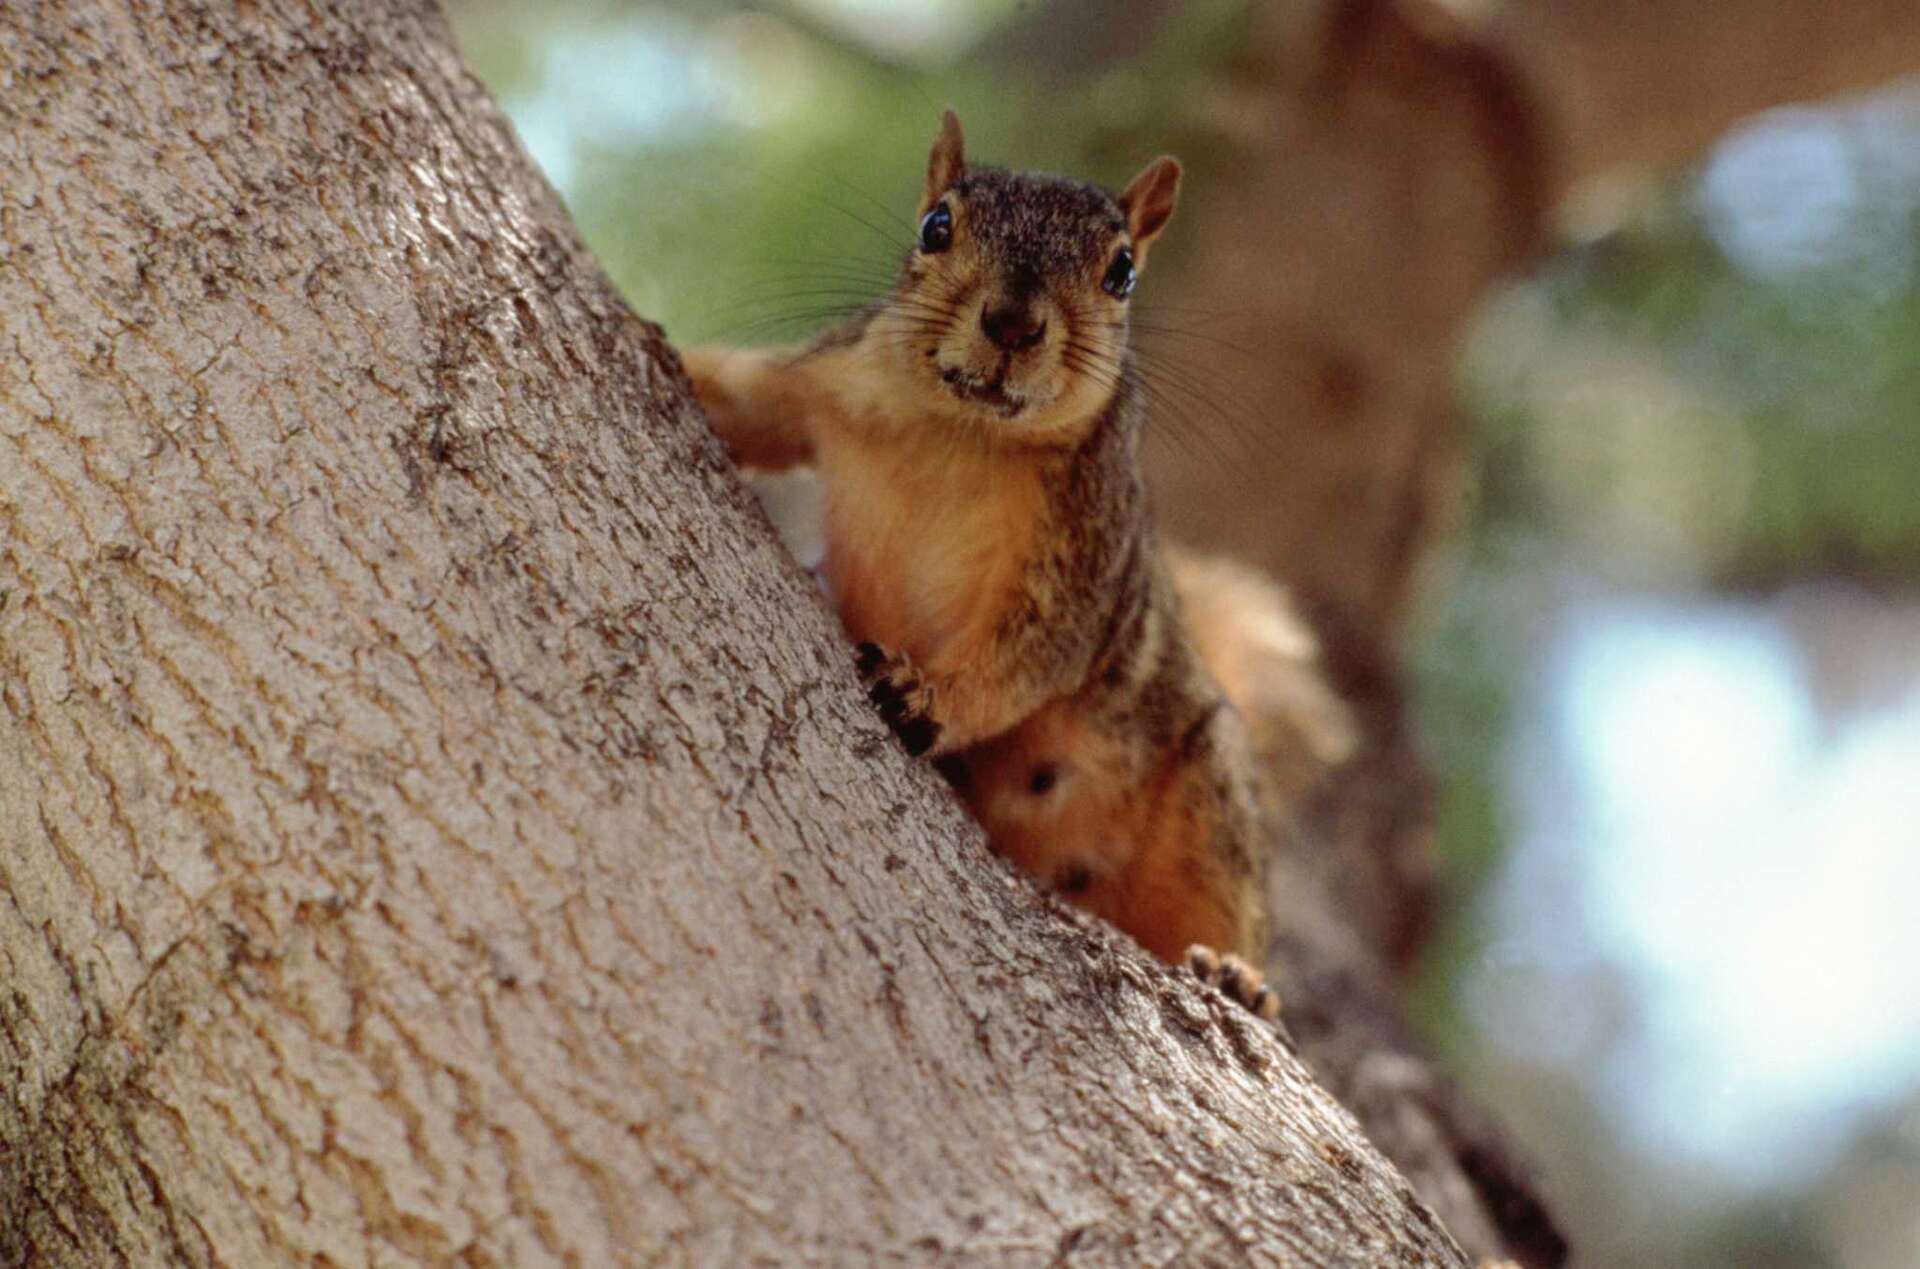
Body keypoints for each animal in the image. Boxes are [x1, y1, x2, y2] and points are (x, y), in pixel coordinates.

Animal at [685, 111, 1303, 1018]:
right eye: (936, 225)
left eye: (1122, 271)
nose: (1013, 323)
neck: (961, 436)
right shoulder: (825, 383)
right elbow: (746, 402)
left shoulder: (1083, 555)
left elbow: (1029, 657)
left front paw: (927, 695)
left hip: (1210, 796)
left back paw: (1238, 975)